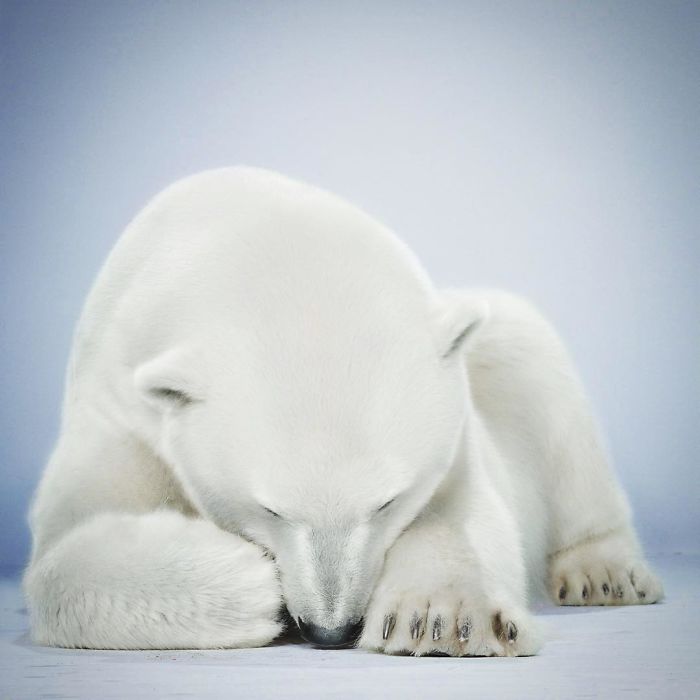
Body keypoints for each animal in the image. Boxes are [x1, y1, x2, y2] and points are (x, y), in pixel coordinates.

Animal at [23, 167, 663, 655]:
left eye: (388, 501)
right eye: (269, 509)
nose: (330, 629)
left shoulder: (457, 423)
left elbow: (462, 508)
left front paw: (443, 619)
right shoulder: (117, 396)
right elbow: (64, 546)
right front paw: (249, 586)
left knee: (532, 360)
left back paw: (604, 574)